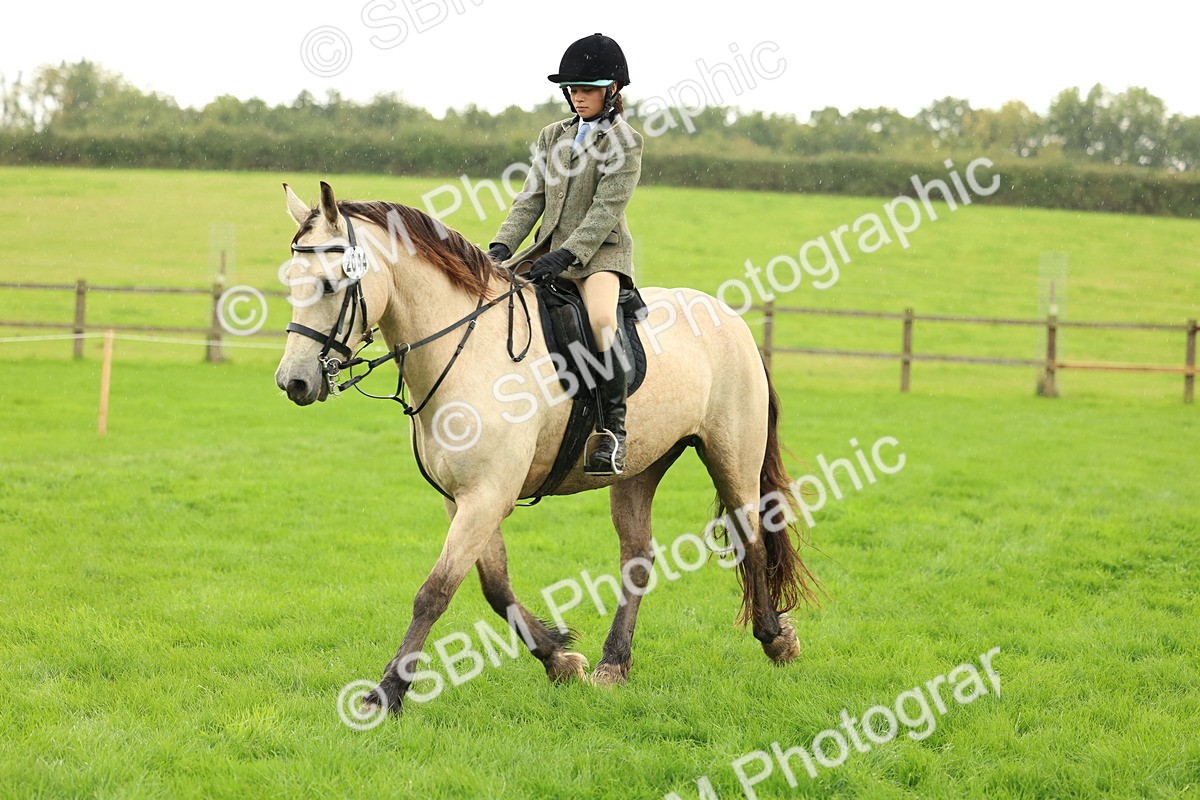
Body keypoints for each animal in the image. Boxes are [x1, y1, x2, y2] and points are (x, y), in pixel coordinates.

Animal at [275, 182, 819, 715]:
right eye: (291, 282)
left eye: (331, 284)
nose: (293, 382)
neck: (467, 348)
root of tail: (732, 319)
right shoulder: (465, 498)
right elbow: (495, 588)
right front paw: (560, 659)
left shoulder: (487, 495)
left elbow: (434, 592)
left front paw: (385, 694)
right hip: (639, 468)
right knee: (638, 556)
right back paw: (613, 665)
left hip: (731, 454)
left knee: (751, 536)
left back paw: (775, 640)